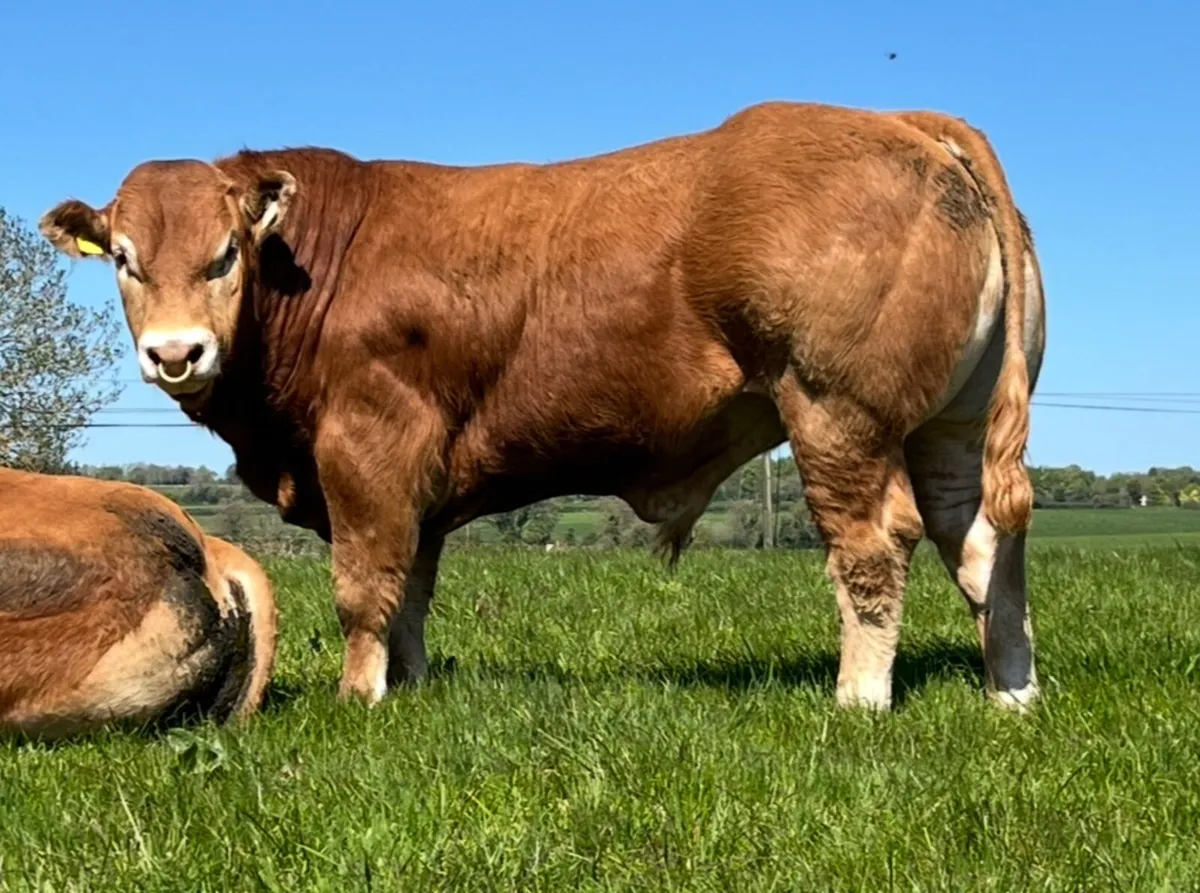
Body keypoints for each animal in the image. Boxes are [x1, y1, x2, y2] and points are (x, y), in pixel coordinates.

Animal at [39, 100, 1046, 712]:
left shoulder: (366, 447)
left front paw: (358, 698)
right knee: (982, 542)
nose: (176, 352)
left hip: (838, 415)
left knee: (874, 551)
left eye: (223, 255)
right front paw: (410, 687)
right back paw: (1011, 692)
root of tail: (900, 121)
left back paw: (858, 700)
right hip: (950, 427)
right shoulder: (421, 477)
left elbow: (365, 586)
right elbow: (413, 589)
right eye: (125, 258)